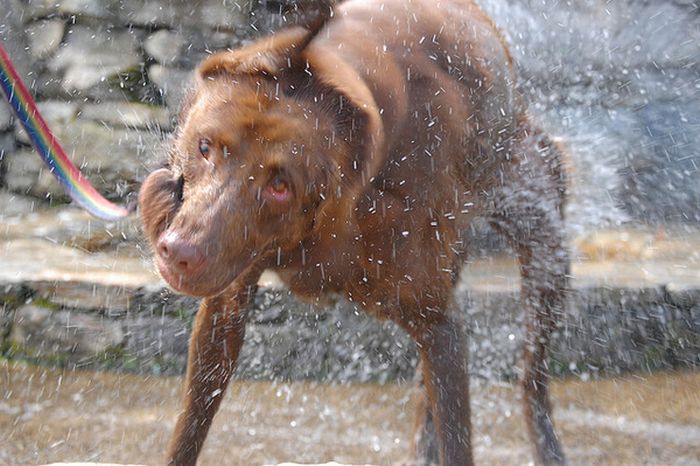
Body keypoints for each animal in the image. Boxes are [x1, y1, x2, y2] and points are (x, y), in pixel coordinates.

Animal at [139, 0, 572, 466]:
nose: (179, 252)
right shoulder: (226, 299)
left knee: (531, 375)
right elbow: (191, 426)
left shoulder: (435, 318)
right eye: (205, 147)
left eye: (280, 185)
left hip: (541, 232)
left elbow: (458, 432)